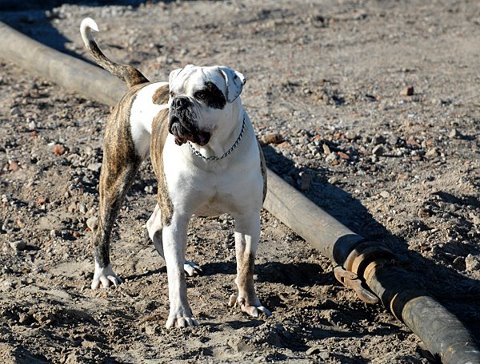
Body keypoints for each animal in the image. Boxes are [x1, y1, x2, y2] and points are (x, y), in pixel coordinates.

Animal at [80, 18, 272, 328]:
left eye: (204, 93)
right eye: (174, 93)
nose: (178, 102)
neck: (213, 154)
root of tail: (140, 83)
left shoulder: (247, 219)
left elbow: (245, 265)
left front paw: (249, 303)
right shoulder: (178, 216)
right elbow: (175, 278)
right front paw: (181, 314)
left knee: (154, 227)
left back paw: (183, 261)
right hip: (118, 177)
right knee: (104, 228)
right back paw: (105, 273)